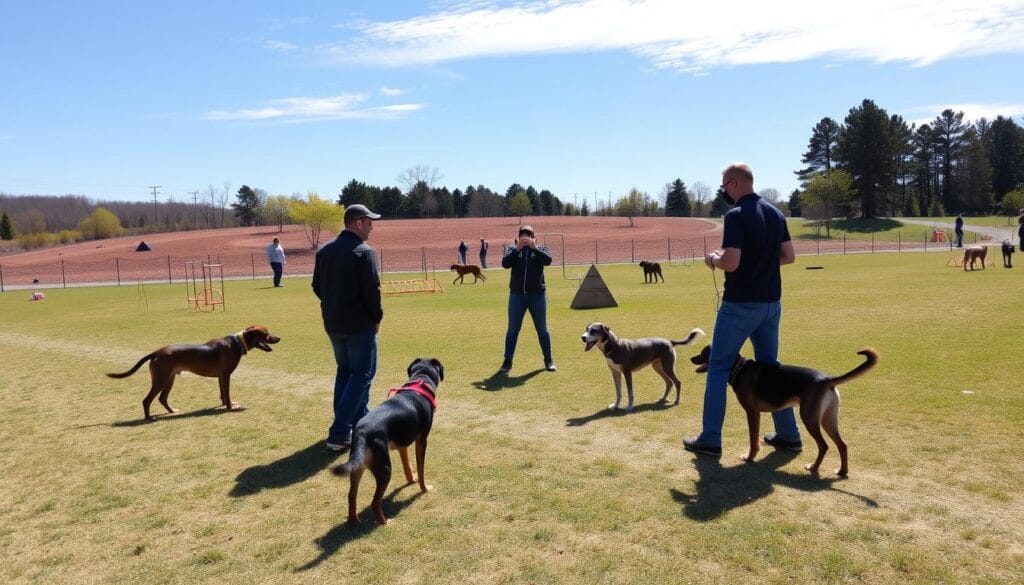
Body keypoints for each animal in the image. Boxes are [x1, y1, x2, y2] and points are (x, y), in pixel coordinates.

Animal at [107, 325, 280, 422]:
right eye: (266, 334)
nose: (279, 338)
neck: (238, 342)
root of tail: (156, 352)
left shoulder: (220, 376)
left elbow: (222, 393)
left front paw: (224, 404)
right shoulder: (226, 375)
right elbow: (227, 394)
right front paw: (231, 408)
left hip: (169, 378)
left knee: (162, 398)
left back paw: (172, 412)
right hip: (160, 379)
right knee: (146, 400)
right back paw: (149, 418)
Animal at [327, 356, 440, 524]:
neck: (419, 383)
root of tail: (362, 432)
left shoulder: (402, 445)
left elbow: (407, 465)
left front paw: (411, 480)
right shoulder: (421, 441)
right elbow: (421, 471)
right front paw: (424, 489)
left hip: (357, 465)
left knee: (351, 495)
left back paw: (354, 521)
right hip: (384, 469)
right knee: (374, 502)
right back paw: (385, 522)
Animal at [692, 346, 876, 477]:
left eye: (704, 353)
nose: (691, 358)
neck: (739, 368)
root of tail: (826, 379)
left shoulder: (752, 413)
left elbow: (753, 440)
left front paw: (750, 457)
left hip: (809, 418)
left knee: (824, 446)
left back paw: (813, 467)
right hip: (828, 420)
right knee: (842, 445)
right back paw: (842, 471)